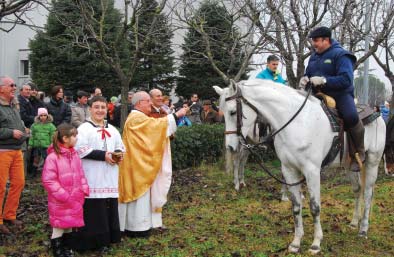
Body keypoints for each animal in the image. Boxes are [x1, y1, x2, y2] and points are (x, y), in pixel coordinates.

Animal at [214, 79, 386, 253]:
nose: (230, 147)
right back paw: (354, 222)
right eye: (221, 112)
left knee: (368, 193)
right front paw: (296, 242)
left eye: (232, 112)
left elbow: (315, 207)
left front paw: (316, 243)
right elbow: (296, 206)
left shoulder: (312, 171)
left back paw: (363, 229)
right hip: (349, 165)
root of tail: (376, 113)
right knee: (357, 190)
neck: (298, 123)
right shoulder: (289, 169)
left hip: (372, 162)